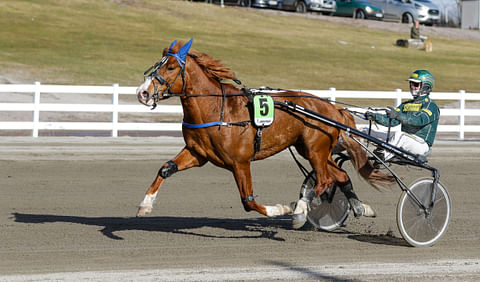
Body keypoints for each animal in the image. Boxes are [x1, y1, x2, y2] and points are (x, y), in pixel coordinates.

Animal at [134, 39, 390, 227]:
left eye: (170, 67)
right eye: (157, 64)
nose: (142, 93)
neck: (218, 110)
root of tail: (334, 108)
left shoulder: (240, 162)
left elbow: (248, 201)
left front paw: (282, 208)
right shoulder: (198, 153)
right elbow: (165, 169)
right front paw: (145, 205)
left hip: (315, 150)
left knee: (324, 180)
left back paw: (300, 209)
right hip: (314, 150)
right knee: (340, 176)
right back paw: (361, 208)